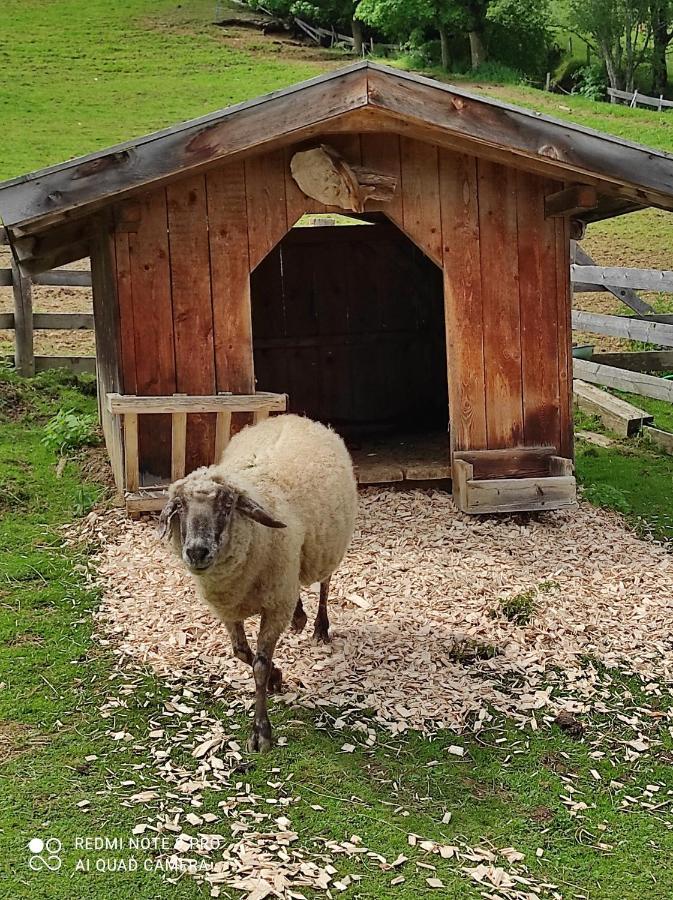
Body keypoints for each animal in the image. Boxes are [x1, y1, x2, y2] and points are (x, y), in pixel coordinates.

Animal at [158, 414, 356, 752]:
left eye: (227, 505)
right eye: (180, 506)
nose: (197, 551)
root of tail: (294, 417)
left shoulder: (274, 609)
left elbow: (260, 665)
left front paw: (261, 730)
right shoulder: (230, 609)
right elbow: (241, 653)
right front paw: (277, 677)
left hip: (326, 546)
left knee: (325, 583)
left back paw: (320, 627)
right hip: (291, 568)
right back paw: (300, 618)